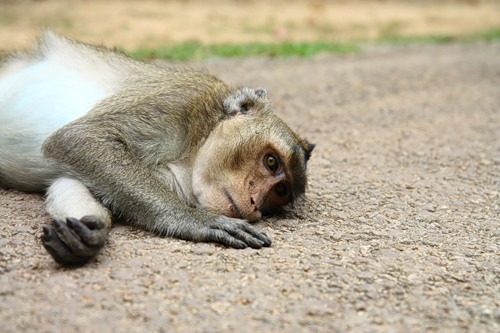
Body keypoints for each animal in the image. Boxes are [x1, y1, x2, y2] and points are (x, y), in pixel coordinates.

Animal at [0, 31, 314, 264]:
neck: (188, 157)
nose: (255, 203)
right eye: (271, 162)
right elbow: (81, 137)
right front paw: (194, 220)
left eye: (279, 191)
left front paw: (84, 234)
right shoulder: (182, 98)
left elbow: (68, 182)